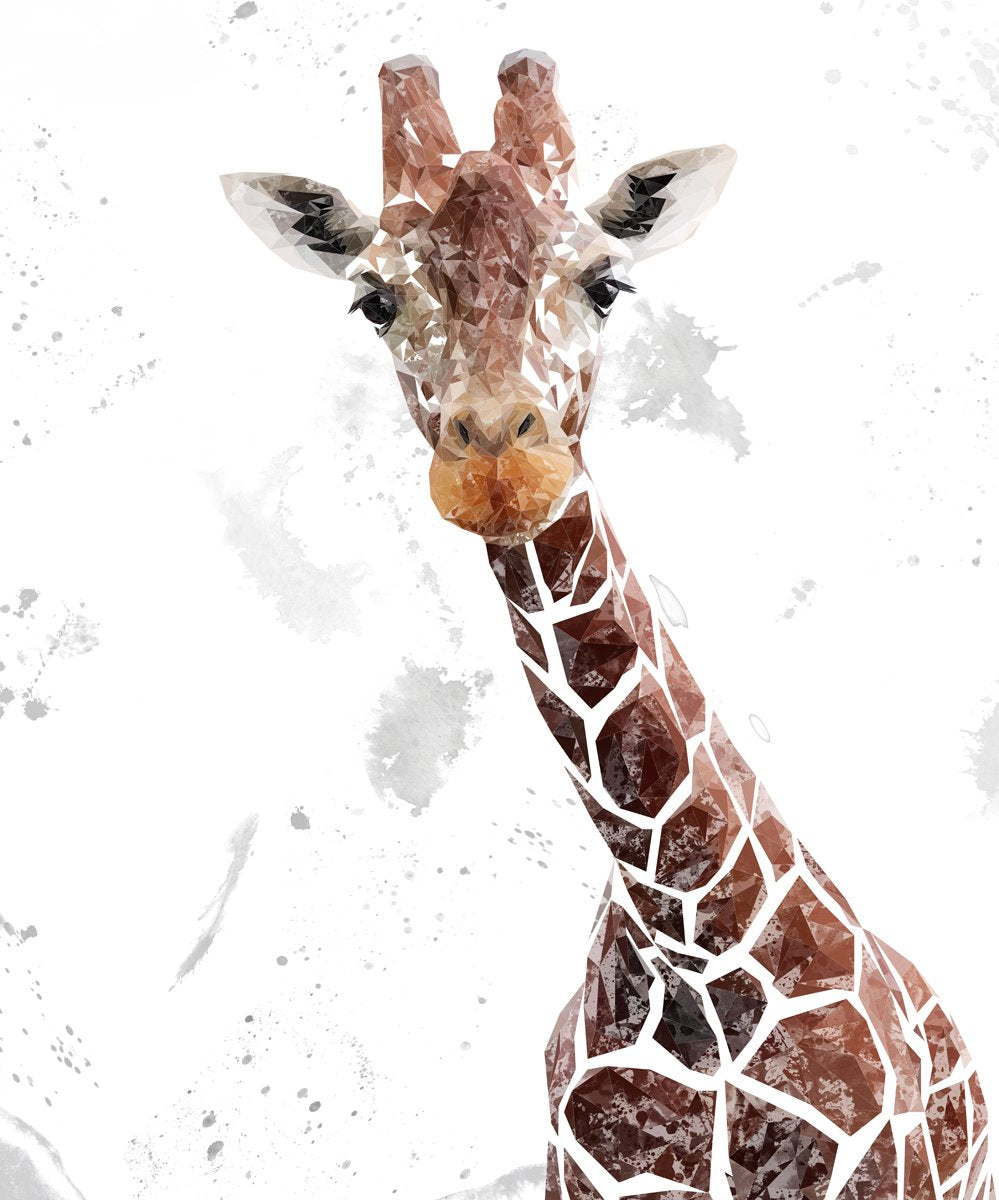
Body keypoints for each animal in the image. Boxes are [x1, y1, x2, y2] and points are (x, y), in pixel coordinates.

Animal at [221, 50, 994, 1200]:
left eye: (605, 283)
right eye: (373, 299)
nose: (500, 463)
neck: (693, 945)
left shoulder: (878, 1174)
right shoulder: (580, 1176)